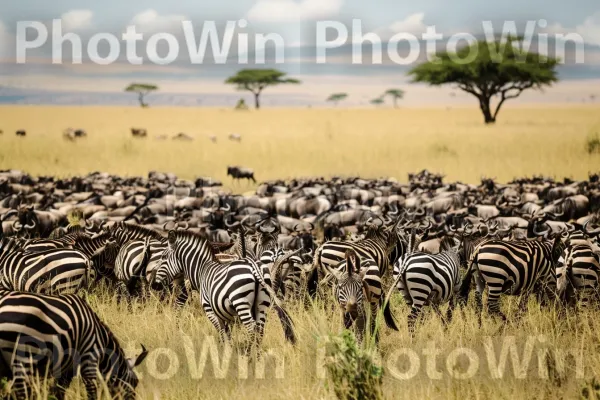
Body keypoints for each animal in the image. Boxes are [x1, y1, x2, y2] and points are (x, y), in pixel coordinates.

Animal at [0, 290, 148, 398]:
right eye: (135, 382)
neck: (100, 337)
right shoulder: (90, 357)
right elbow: (91, 391)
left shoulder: (66, 368)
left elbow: (58, 391)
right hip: (23, 358)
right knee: (21, 393)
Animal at [152, 231, 298, 346]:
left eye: (163, 257)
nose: (154, 285)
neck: (202, 270)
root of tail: (253, 266)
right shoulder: (226, 315)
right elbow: (227, 334)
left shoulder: (210, 310)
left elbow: (222, 333)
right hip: (262, 303)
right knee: (259, 331)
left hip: (241, 302)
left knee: (252, 329)